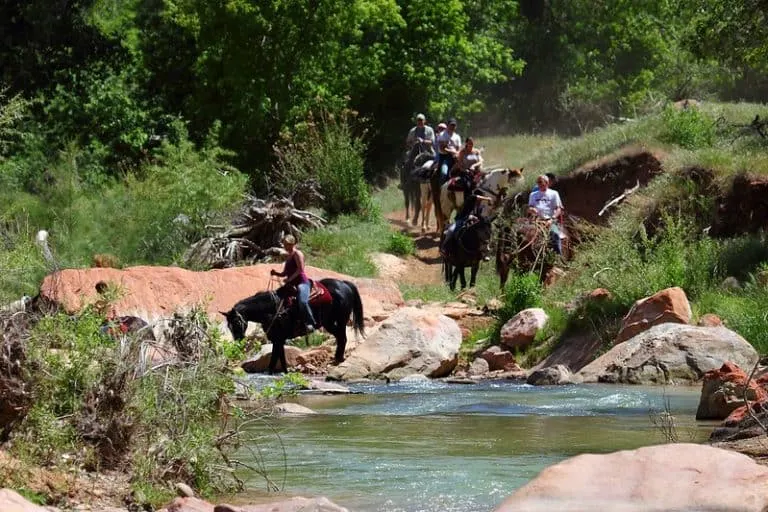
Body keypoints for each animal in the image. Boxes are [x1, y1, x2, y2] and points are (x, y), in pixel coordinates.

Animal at [222, 280, 366, 372]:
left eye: (237, 322)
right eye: (229, 326)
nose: (238, 340)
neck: (273, 309)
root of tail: (345, 284)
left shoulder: (278, 338)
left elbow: (274, 361)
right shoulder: (277, 339)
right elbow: (280, 359)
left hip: (339, 321)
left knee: (342, 338)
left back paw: (338, 359)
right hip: (331, 323)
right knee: (341, 338)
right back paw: (337, 358)